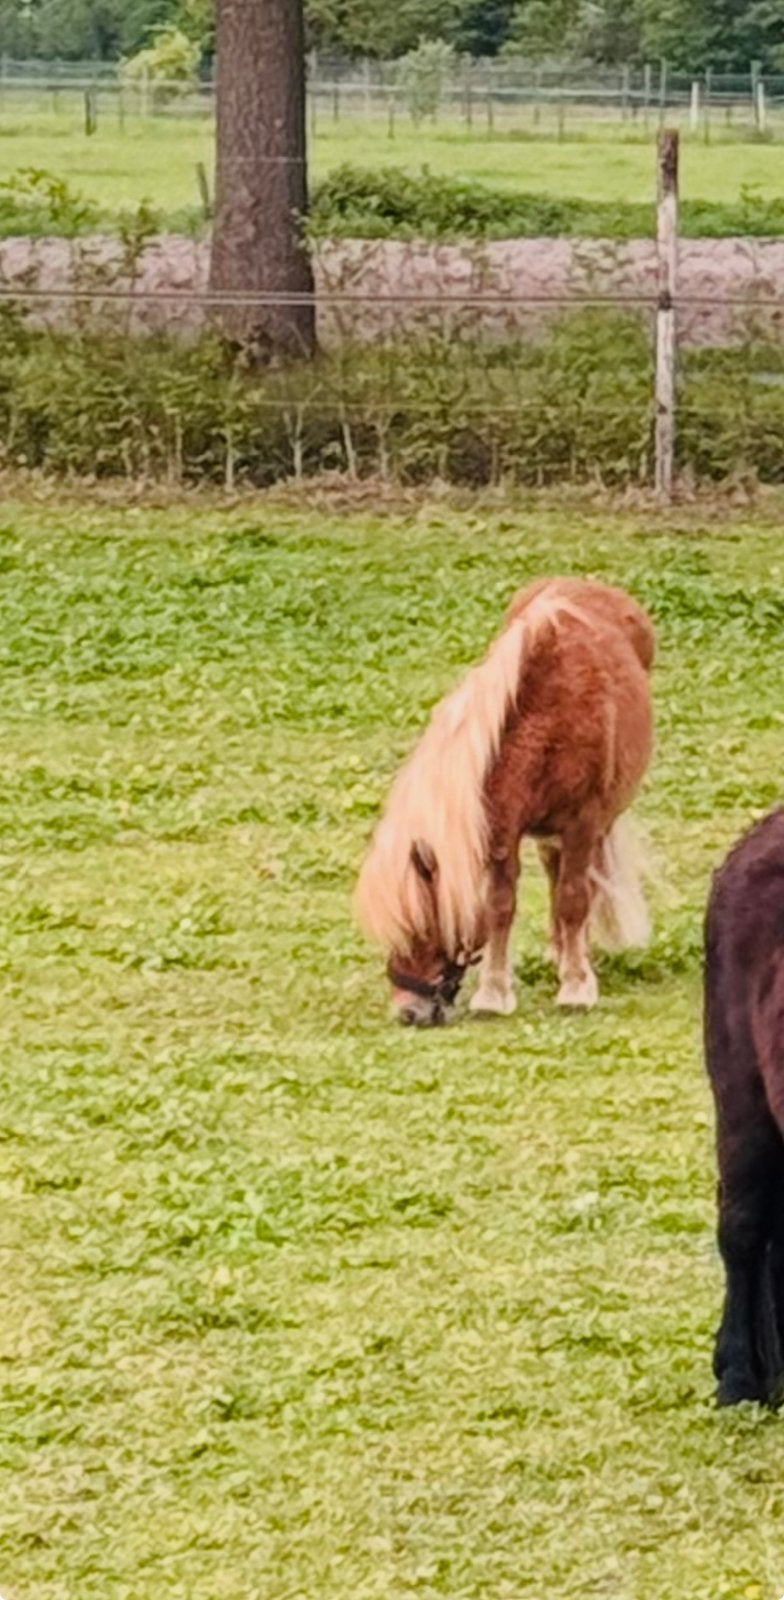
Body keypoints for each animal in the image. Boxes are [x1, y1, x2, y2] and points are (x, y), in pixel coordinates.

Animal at [354, 576, 655, 1026]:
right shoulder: (500, 829)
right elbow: (499, 905)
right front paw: (494, 993)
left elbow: (573, 899)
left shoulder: (582, 822)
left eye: (424, 925)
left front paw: (576, 987)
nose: (408, 1011)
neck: (546, 724)